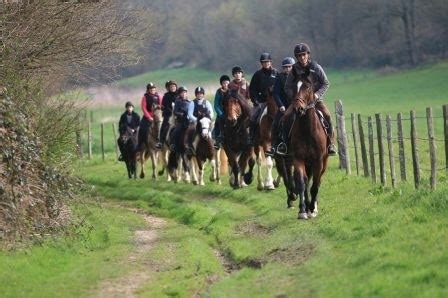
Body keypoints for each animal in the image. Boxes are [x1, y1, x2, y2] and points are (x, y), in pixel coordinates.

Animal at [276, 78, 328, 220]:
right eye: (294, 87)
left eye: (308, 87)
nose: (298, 108)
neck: (307, 130)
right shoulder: (298, 159)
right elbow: (301, 182)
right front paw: (303, 210)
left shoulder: (318, 161)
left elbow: (315, 185)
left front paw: (312, 209)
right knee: (305, 181)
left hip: (323, 162)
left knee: (317, 181)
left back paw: (313, 206)